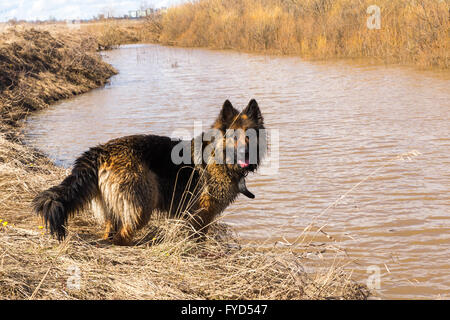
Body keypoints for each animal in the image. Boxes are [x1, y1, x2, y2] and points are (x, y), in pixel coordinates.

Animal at [35, 99, 268, 245]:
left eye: (251, 136)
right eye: (234, 137)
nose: (246, 153)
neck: (219, 157)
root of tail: (102, 150)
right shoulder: (201, 214)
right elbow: (198, 236)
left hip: (116, 206)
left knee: (111, 231)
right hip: (142, 206)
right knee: (122, 236)